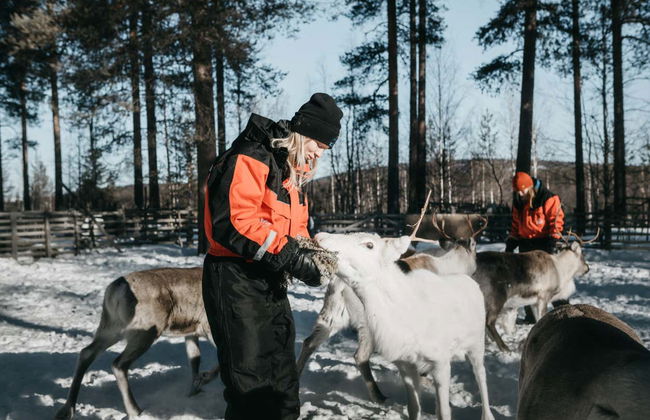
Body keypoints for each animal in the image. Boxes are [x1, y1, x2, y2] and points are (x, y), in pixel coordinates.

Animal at [54, 267, 219, 419]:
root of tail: (116, 290)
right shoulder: (208, 328)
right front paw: (204, 379)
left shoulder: (191, 334)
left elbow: (195, 360)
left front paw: (194, 391)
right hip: (145, 332)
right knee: (118, 364)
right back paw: (135, 411)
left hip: (110, 328)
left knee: (86, 353)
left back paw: (67, 410)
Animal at [315, 231, 495, 420]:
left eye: (369, 245)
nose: (320, 236)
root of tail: (471, 281)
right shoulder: (405, 365)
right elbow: (414, 408)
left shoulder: (441, 362)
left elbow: (445, 413)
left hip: (477, 344)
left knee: (481, 376)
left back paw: (487, 414)